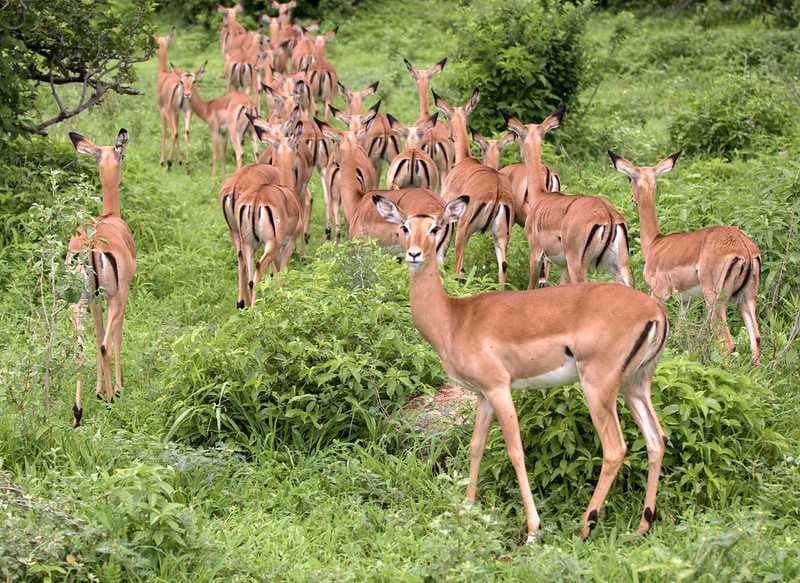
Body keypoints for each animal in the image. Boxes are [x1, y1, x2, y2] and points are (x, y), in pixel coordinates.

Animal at [156, 28, 193, 168]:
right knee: (184, 132)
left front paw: (162, 160)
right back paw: (185, 162)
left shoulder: (162, 110)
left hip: (168, 111)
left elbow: (164, 132)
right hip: (185, 111)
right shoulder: (177, 112)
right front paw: (180, 160)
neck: (163, 74)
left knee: (173, 133)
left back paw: (168, 162)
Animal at [373, 193, 669, 542]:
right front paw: (468, 510)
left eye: (435, 227)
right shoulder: (483, 396)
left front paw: (532, 529)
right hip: (634, 385)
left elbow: (515, 451)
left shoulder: (499, 389)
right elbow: (476, 447)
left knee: (615, 448)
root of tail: (655, 312)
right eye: (405, 227)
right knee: (656, 439)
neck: (455, 318)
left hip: (598, 387)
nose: (414, 254)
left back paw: (585, 526)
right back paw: (642, 526)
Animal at [434, 90, 514, 287]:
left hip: (463, 231)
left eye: (445, 115)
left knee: (459, 268)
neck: (464, 160)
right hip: (501, 237)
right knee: (503, 267)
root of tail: (497, 192)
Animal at [504, 107, 633, 289]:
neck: (540, 197)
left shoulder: (536, 254)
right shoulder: (563, 266)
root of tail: (608, 216)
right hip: (620, 267)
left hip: (578, 266)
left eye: (518, 137)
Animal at [609, 151, 762, 365]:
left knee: (727, 343)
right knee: (756, 339)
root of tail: (744, 248)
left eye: (629, 178)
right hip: (747, 298)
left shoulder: (658, 293)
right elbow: (679, 331)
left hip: (714, 299)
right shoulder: (684, 300)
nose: (632, 198)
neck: (655, 244)